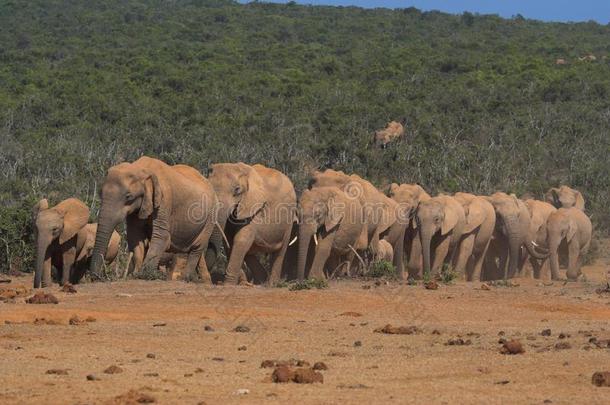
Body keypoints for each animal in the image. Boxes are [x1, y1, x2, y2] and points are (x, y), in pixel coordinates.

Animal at [88, 156, 216, 282]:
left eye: (128, 197)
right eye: (100, 193)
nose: (96, 277)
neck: (139, 168)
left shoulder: (164, 200)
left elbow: (161, 236)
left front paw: (145, 274)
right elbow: (135, 235)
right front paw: (135, 274)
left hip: (210, 217)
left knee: (197, 248)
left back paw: (185, 279)